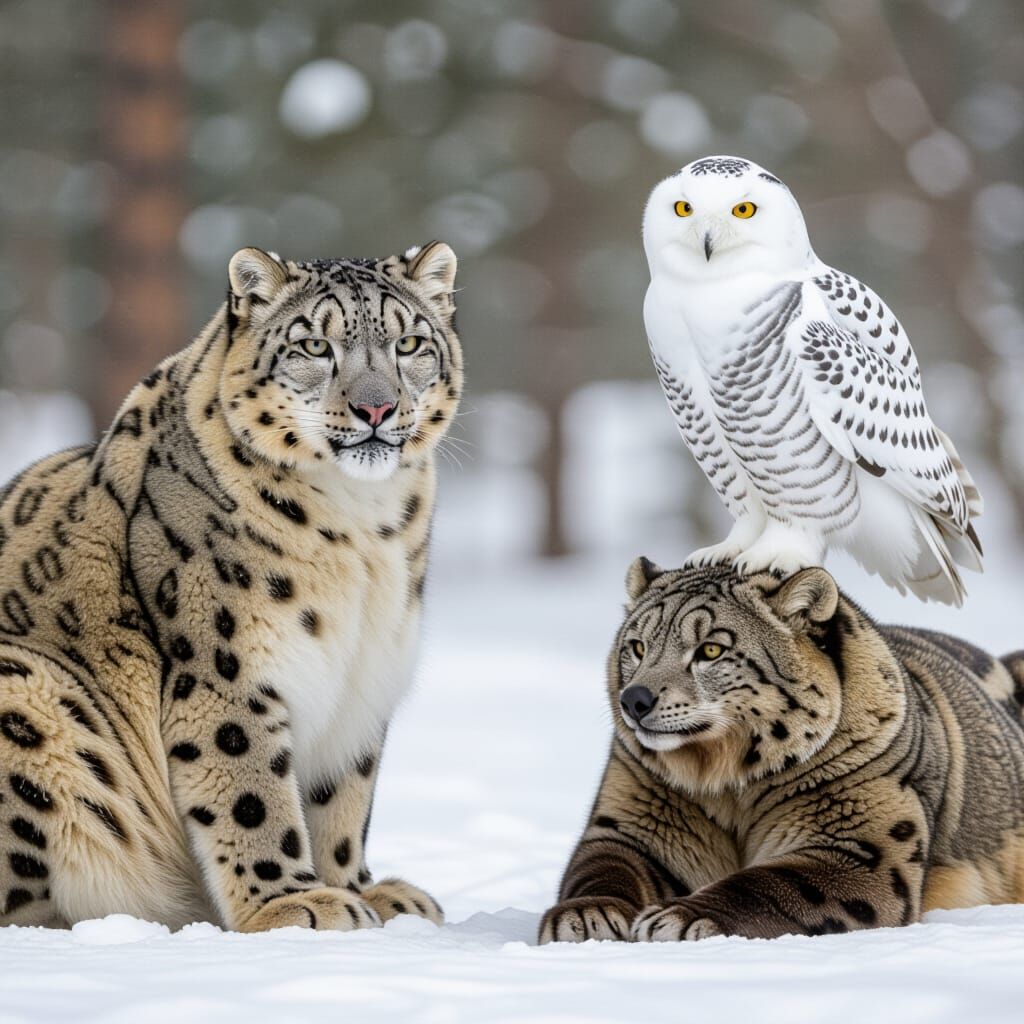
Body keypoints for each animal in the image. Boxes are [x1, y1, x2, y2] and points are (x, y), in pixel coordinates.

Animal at [0, 241, 462, 932]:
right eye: (315, 346)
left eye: (408, 343)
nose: (376, 408)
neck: (364, 538)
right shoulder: (227, 667)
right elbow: (251, 791)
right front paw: (291, 903)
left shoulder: (361, 685)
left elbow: (343, 799)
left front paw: (361, 891)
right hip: (28, 690)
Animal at [540, 560, 1024, 943]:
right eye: (638, 646)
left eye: (711, 648)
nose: (634, 699)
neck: (730, 788)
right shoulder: (631, 822)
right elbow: (603, 864)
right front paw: (587, 916)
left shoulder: (866, 846)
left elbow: (776, 882)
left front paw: (679, 918)